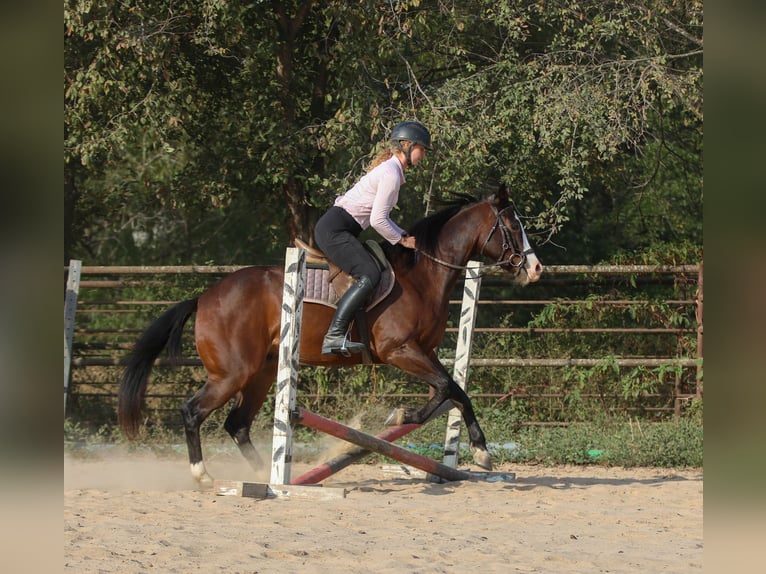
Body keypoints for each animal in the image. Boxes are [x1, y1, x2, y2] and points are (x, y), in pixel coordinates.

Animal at [118, 184, 543, 485]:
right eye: (512, 226)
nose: (535, 268)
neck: (422, 275)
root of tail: (205, 297)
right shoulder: (399, 350)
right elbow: (443, 388)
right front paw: (405, 414)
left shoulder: (423, 350)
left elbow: (455, 391)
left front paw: (481, 451)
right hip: (231, 374)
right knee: (193, 412)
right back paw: (204, 476)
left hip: (260, 372)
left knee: (237, 424)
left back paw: (262, 475)